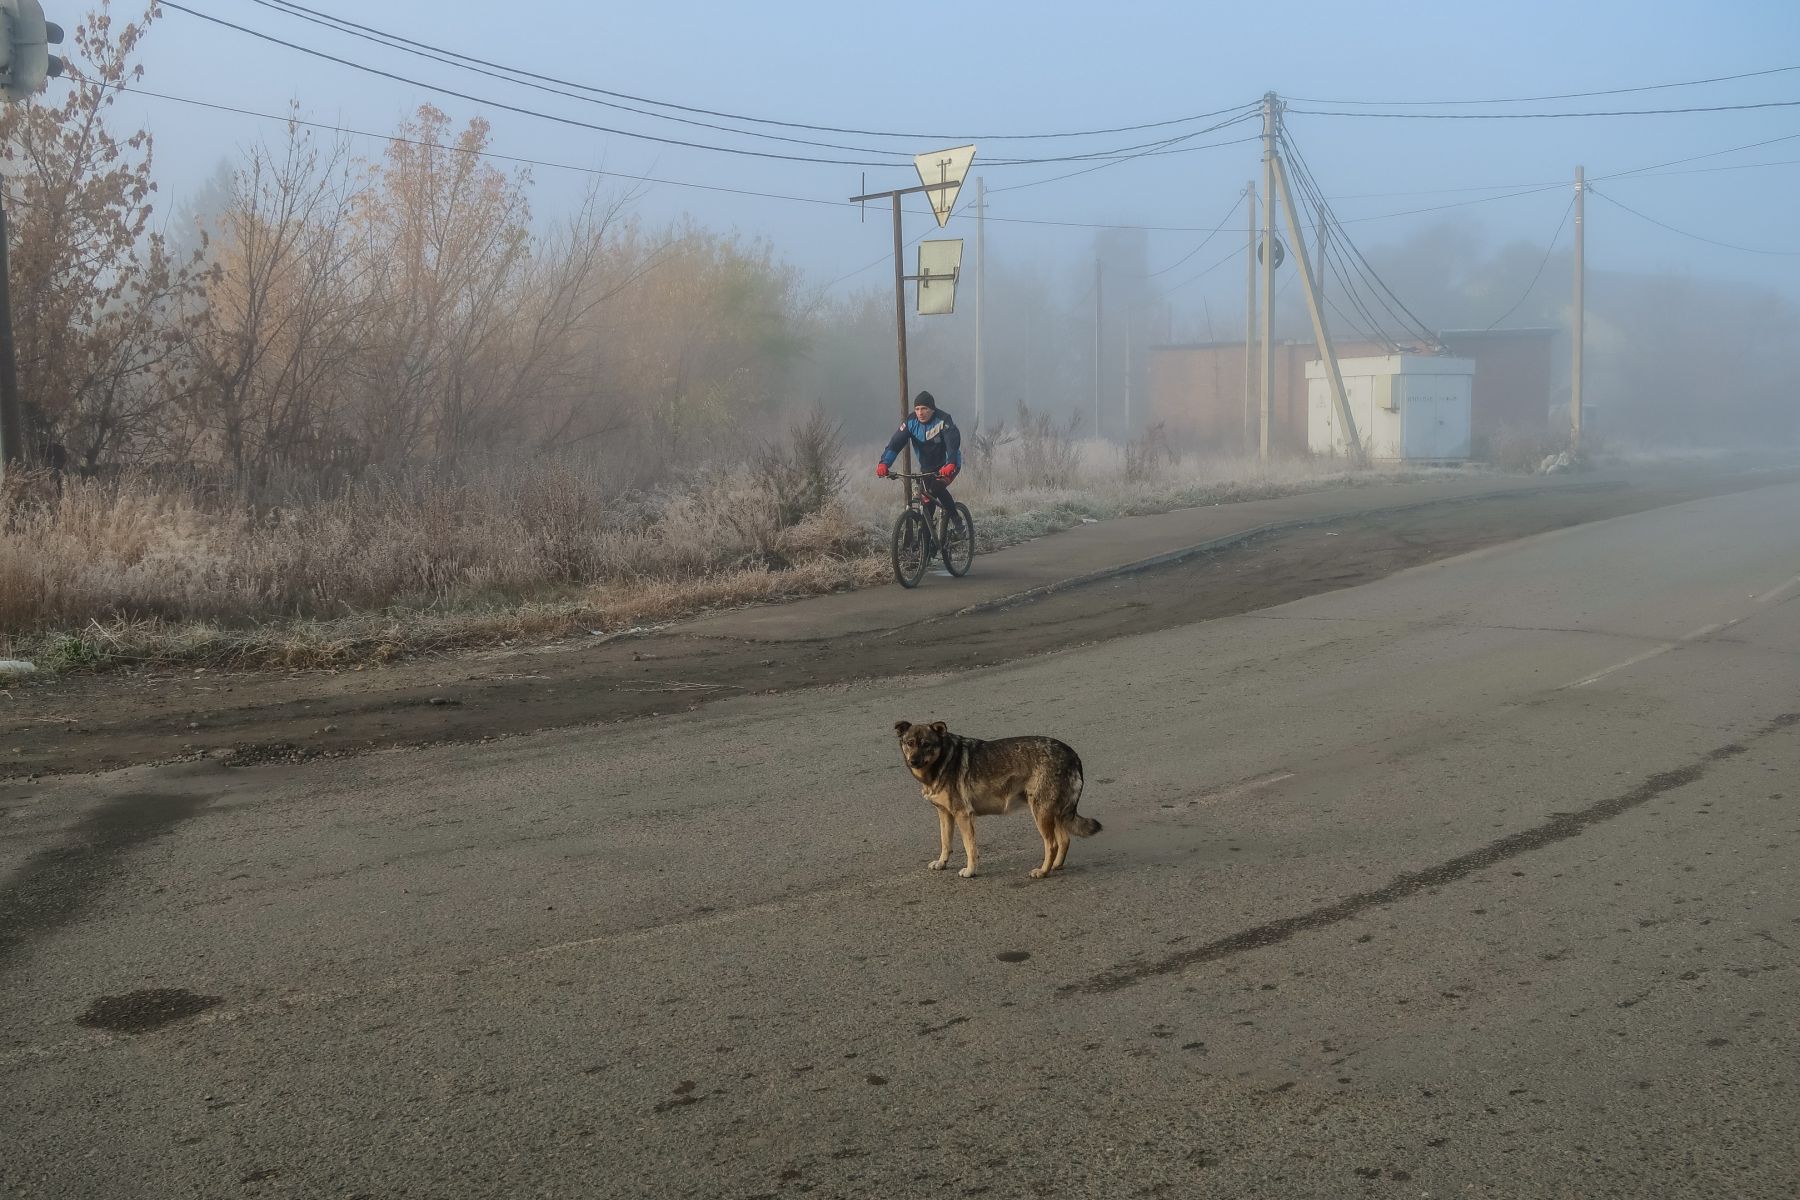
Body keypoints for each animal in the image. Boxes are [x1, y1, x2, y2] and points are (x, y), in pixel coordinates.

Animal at [896, 719, 1101, 877]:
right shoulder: (945, 814)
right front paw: (942, 863)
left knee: (1052, 844)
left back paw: (1043, 871)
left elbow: (970, 847)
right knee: (1064, 840)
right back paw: (1055, 866)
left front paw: (970, 871)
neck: (942, 760)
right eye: (909, 743)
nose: (913, 761)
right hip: (1052, 812)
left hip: (1041, 812)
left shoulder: (963, 815)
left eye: (926, 744)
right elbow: (945, 842)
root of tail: (1072, 754)